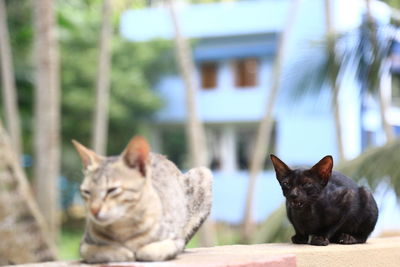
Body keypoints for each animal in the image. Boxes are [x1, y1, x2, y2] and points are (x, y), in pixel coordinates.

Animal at [73, 137, 214, 262]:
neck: (123, 227)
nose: (94, 210)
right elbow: (99, 252)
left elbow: (152, 251)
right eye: (86, 192)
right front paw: (122, 253)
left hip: (203, 174)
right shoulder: (84, 244)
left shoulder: (175, 240)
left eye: (112, 190)